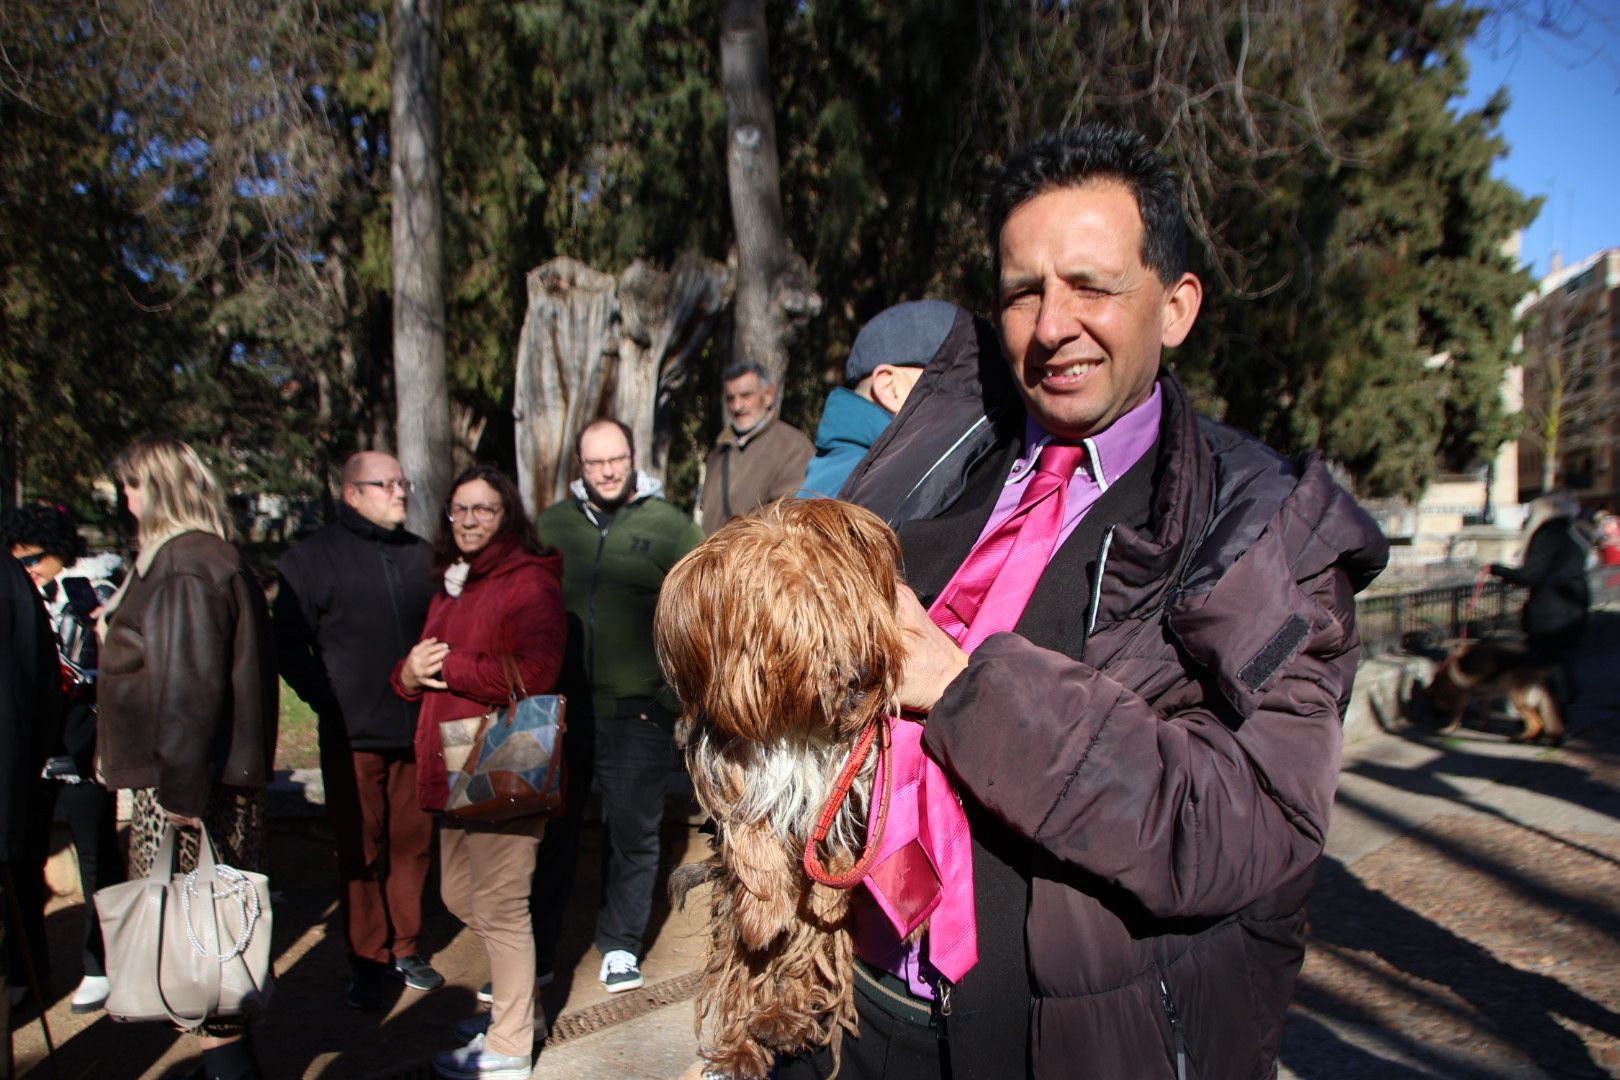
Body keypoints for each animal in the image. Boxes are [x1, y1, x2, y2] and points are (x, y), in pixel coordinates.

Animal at [657, 501, 913, 1080]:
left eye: (851, 607)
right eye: (798, 630)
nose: (862, 675)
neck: (799, 721)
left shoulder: (850, 781)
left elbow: (833, 854)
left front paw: (829, 892)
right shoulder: (731, 769)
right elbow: (750, 834)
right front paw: (765, 913)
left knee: (807, 951)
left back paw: (784, 1019)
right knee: (746, 967)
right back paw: (746, 1042)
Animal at [1425, 637, 1561, 748]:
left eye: (1433, 701)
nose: (1435, 714)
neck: (1445, 680)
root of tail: (1541, 665)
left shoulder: (1462, 697)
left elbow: (1456, 715)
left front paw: (1449, 729)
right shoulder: (1485, 697)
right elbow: (1484, 715)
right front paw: (1481, 728)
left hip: (1516, 696)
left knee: (1537, 723)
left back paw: (1520, 739)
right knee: (1539, 722)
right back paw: (1532, 738)